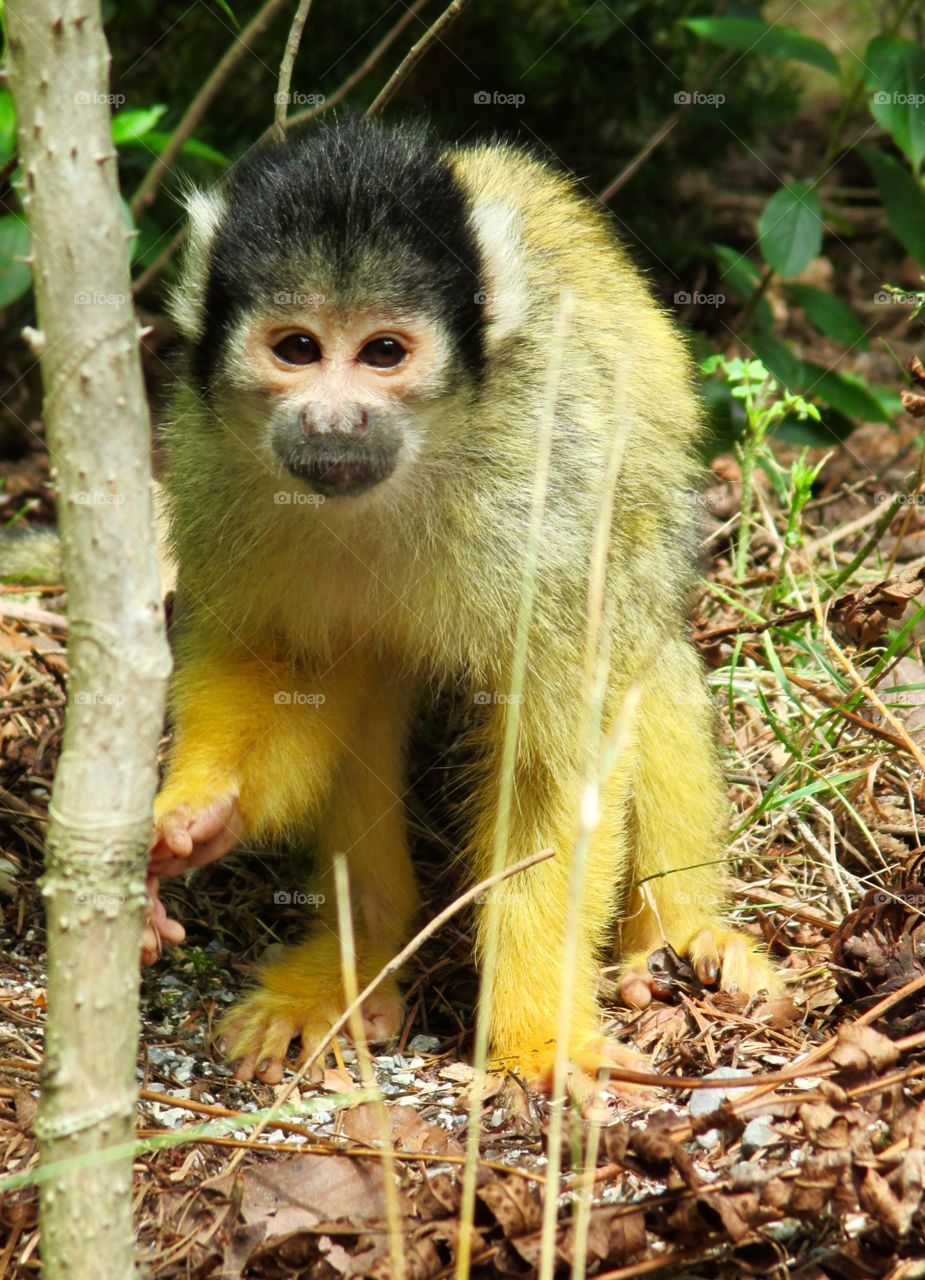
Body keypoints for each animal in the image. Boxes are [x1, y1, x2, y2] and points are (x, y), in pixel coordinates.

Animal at [146, 117, 780, 1093]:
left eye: (383, 353)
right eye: (297, 349)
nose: (334, 421)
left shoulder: (546, 491)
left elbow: (554, 760)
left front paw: (538, 1039)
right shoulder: (209, 462)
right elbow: (280, 669)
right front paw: (197, 814)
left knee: (645, 647)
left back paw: (681, 933)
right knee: (362, 674)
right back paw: (361, 958)